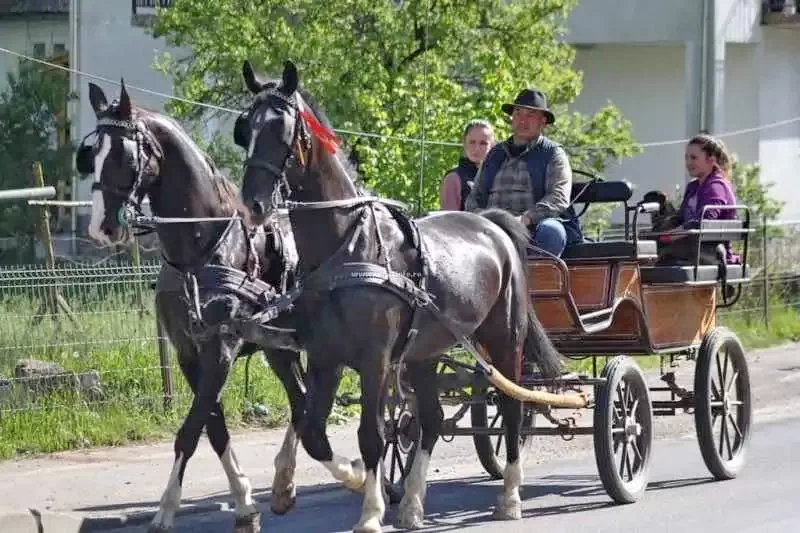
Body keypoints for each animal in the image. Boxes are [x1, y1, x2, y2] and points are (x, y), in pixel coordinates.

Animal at [80, 81, 306, 528]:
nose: (101, 228)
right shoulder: (188, 353)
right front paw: (244, 502)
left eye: (124, 155)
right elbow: (213, 428)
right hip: (279, 348)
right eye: (91, 153)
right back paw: (288, 483)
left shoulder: (219, 350)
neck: (200, 251)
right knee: (303, 398)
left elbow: (189, 430)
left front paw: (166, 508)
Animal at [234, 60, 564, 528]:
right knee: (431, 419)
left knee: (513, 407)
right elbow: (314, 431)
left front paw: (370, 511)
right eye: (244, 127)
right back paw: (411, 505)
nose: (253, 204)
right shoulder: (324, 358)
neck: (348, 245)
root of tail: (494, 223)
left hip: (505, 340)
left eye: (282, 127)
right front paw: (356, 479)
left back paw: (510, 497)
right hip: (424, 353)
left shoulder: (374, 361)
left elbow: (370, 435)